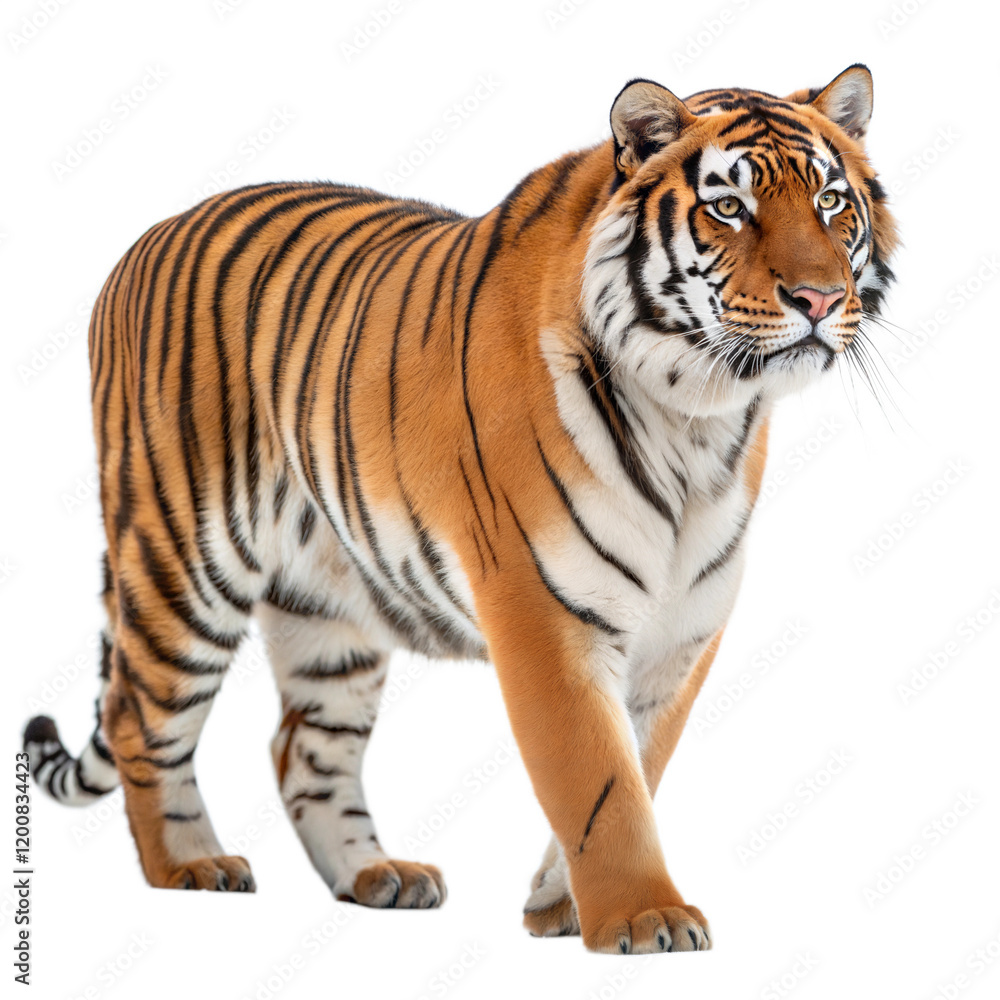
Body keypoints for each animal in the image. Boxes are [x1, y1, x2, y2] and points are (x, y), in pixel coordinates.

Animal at [23, 63, 896, 954]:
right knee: (138, 717)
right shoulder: (547, 614)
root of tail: (143, 239)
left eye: (830, 201)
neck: (699, 421)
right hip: (183, 558)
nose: (820, 299)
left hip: (329, 606)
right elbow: (600, 780)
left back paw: (375, 876)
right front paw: (642, 915)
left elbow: (641, 763)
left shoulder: (683, 631)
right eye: (730, 208)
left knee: (301, 745)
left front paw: (558, 904)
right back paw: (193, 863)